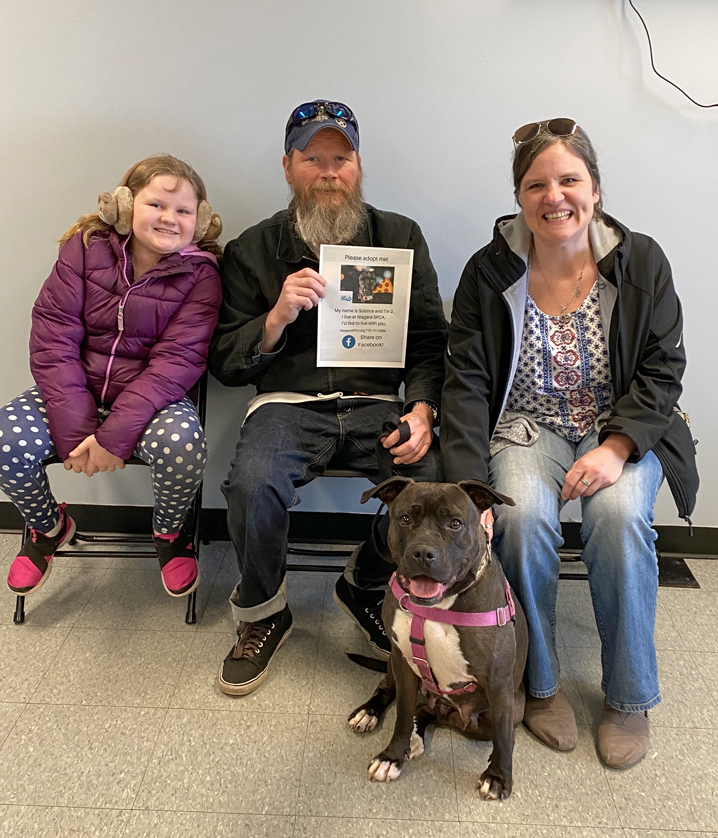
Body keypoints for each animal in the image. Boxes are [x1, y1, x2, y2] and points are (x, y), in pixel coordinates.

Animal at [352, 480, 532, 800]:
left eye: (455, 523)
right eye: (405, 519)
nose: (423, 553)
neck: (439, 605)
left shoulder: (498, 681)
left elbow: (503, 737)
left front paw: (498, 777)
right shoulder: (403, 661)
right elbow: (402, 715)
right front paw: (391, 757)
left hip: (507, 709)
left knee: (441, 715)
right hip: (394, 663)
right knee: (397, 694)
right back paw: (370, 714)